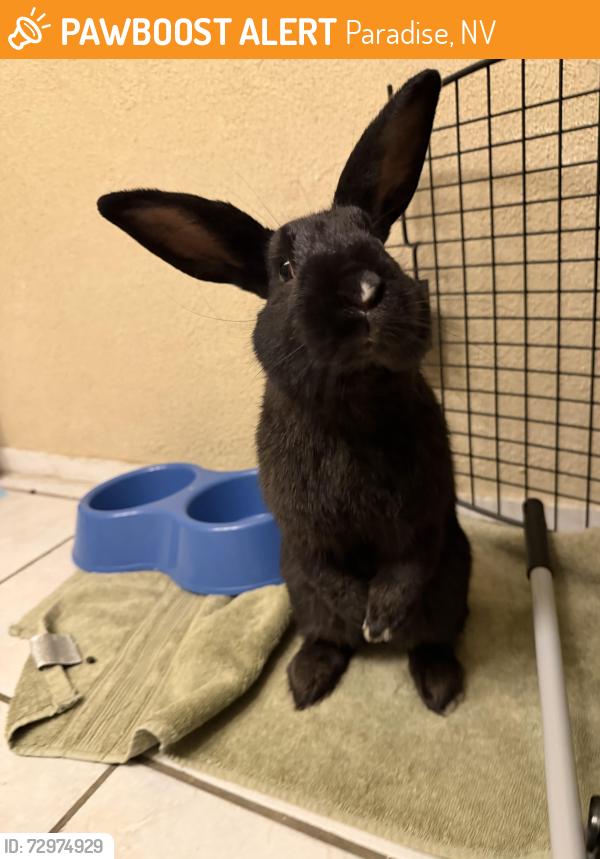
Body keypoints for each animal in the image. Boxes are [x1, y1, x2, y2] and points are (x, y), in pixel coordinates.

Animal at [97, 68, 471, 715]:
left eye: (379, 242)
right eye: (287, 269)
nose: (364, 290)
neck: (354, 405)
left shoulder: (426, 519)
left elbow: (406, 567)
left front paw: (380, 619)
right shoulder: (303, 539)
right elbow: (332, 577)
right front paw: (362, 616)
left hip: (454, 573)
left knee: (434, 634)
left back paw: (437, 685)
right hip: (295, 586)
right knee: (326, 632)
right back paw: (308, 679)